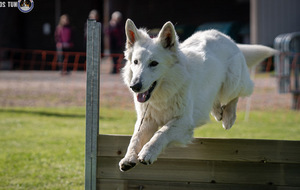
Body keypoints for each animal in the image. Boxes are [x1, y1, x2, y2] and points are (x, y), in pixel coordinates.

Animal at [119, 19, 276, 172]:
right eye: (135, 62)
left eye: (154, 63)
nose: (135, 86)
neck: (164, 94)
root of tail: (226, 37)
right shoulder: (146, 120)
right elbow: (135, 138)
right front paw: (128, 158)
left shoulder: (184, 121)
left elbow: (161, 133)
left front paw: (148, 153)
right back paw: (218, 112)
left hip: (232, 84)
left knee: (238, 94)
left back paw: (229, 117)